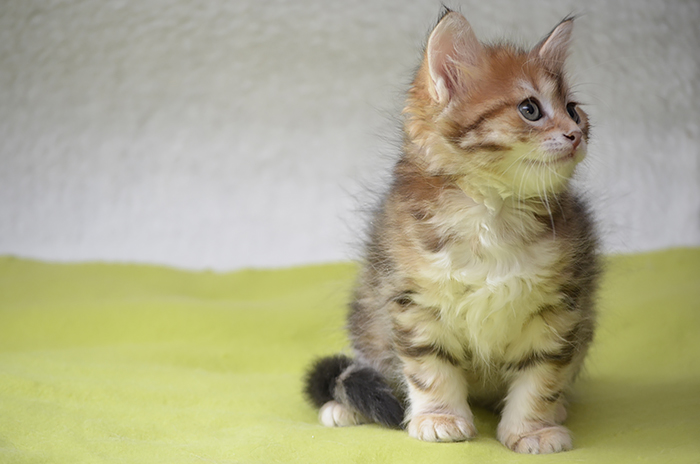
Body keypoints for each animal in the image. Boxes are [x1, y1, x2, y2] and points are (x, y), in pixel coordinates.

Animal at [304, 9, 599, 455]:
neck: (492, 212)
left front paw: (533, 429)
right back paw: (345, 408)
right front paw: (439, 418)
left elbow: (540, 377)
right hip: (368, 316)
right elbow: (430, 368)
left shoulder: (560, 307)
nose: (576, 134)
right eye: (530, 109)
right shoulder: (414, 301)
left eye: (573, 109)